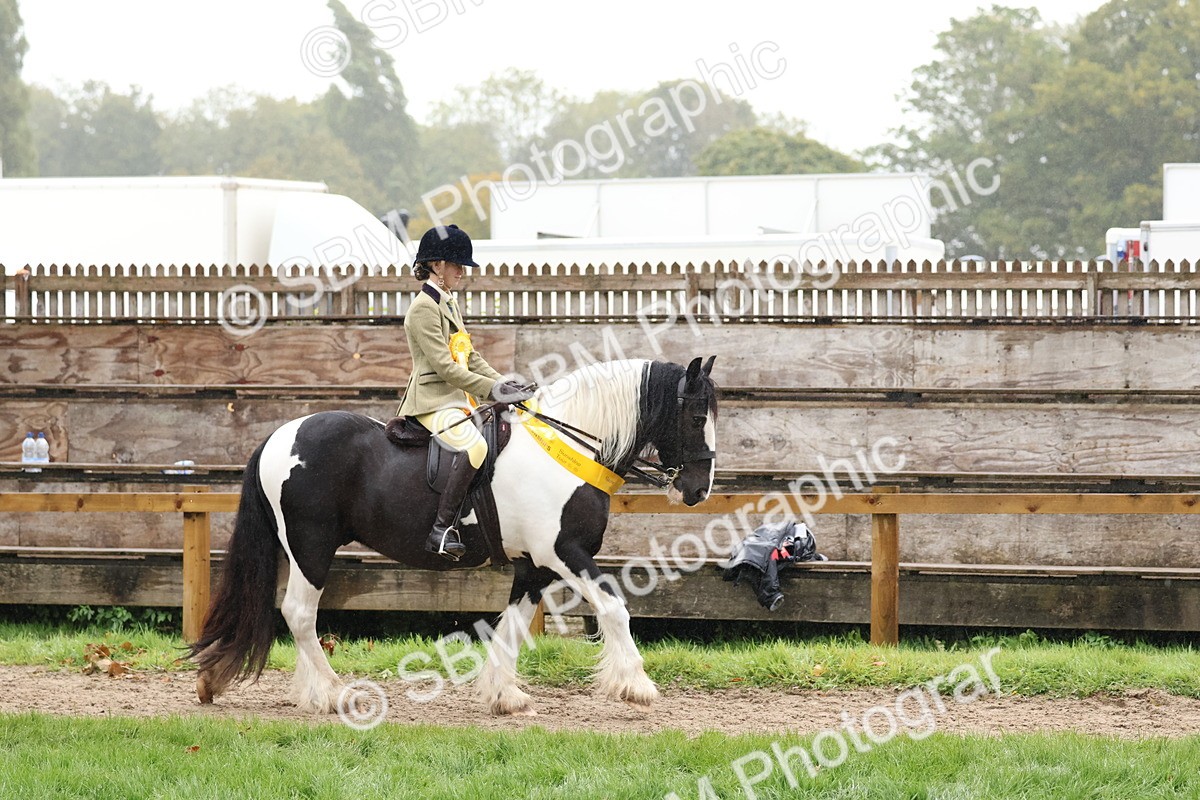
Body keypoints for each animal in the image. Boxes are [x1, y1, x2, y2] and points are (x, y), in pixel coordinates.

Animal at [188, 356, 718, 716]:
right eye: (697, 418)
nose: (699, 489)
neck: (566, 446)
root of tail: (280, 435)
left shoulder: (535, 565)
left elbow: (513, 625)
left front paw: (504, 695)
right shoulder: (564, 553)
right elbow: (614, 607)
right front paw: (636, 685)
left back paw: (270, 688)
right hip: (311, 547)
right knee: (299, 613)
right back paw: (335, 693)